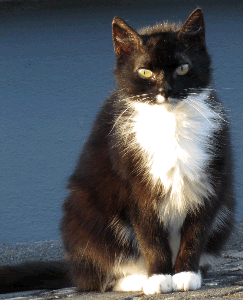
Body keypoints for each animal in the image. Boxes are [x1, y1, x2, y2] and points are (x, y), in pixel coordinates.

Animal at [0, 7, 235, 296]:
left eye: (183, 68)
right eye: (145, 72)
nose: (166, 90)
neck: (170, 121)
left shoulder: (210, 175)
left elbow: (197, 229)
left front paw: (186, 274)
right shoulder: (132, 178)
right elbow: (148, 233)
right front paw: (158, 277)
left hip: (226, 211)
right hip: (87, 214)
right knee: (95, 277)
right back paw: (137, 278)